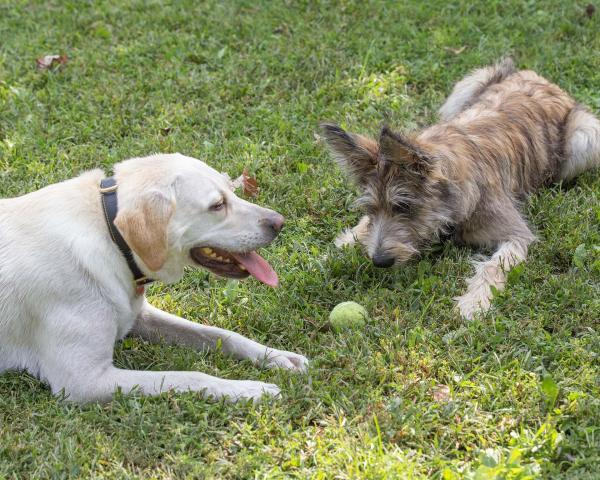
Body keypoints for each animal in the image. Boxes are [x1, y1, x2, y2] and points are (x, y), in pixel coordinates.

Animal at [0, 153, 308, 402]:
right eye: (217, 205)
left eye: (232, 191)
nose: (279, 222)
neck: (110, 234)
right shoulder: (85, 381)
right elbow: (189, 376)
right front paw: (249, 389)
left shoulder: (138, 316)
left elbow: (223, 334)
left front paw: (277, 357)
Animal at [324, 59, 600, 318]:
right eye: (371, 208)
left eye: (404, 206)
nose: (380, 261)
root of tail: (543, 80)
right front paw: (344, 241)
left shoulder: (517, 235)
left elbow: (494, 265)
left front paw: (474, 302)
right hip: (468, 85)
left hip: (586, 137)